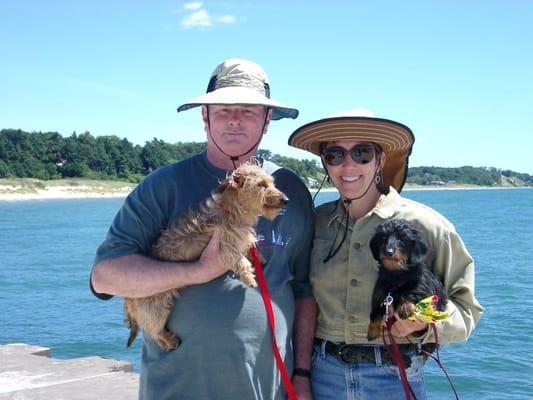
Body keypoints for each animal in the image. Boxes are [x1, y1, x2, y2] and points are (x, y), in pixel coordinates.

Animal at [123, 162, 288, 350]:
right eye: (261, 184)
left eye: (272, 183)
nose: (286, 200)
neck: (232, 210)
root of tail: (128, 300)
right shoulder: (225, 247)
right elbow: (240, 260)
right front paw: (249, 278)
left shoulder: (240, 237)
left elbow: (248, 248)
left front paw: (259, 258)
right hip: (156, 309)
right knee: (155, 332)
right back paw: (170, 341)